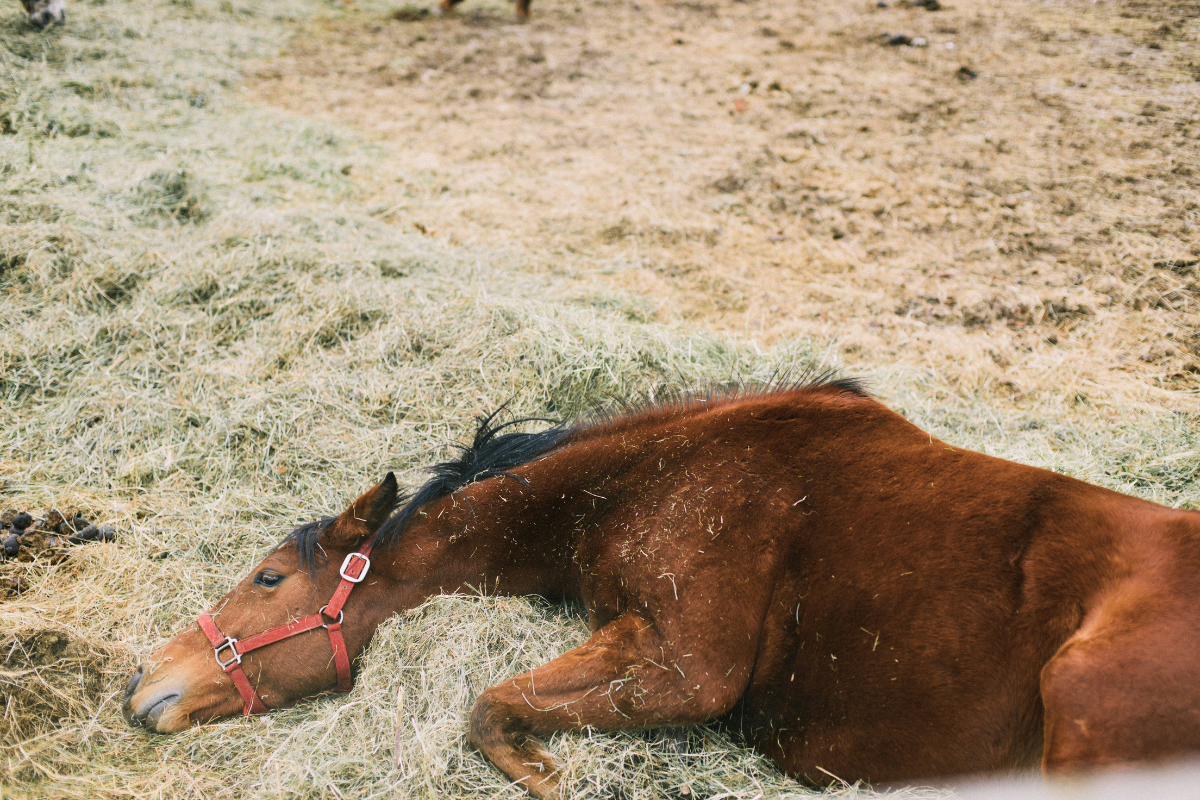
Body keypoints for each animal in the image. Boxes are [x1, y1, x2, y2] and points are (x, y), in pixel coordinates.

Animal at [122, 379, 1200, 798]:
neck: (655, 477)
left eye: (267, 576)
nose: (141, 685)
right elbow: (497, 703)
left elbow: (488, 707)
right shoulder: (629, 632)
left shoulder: (691, 664)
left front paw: (546, 774)